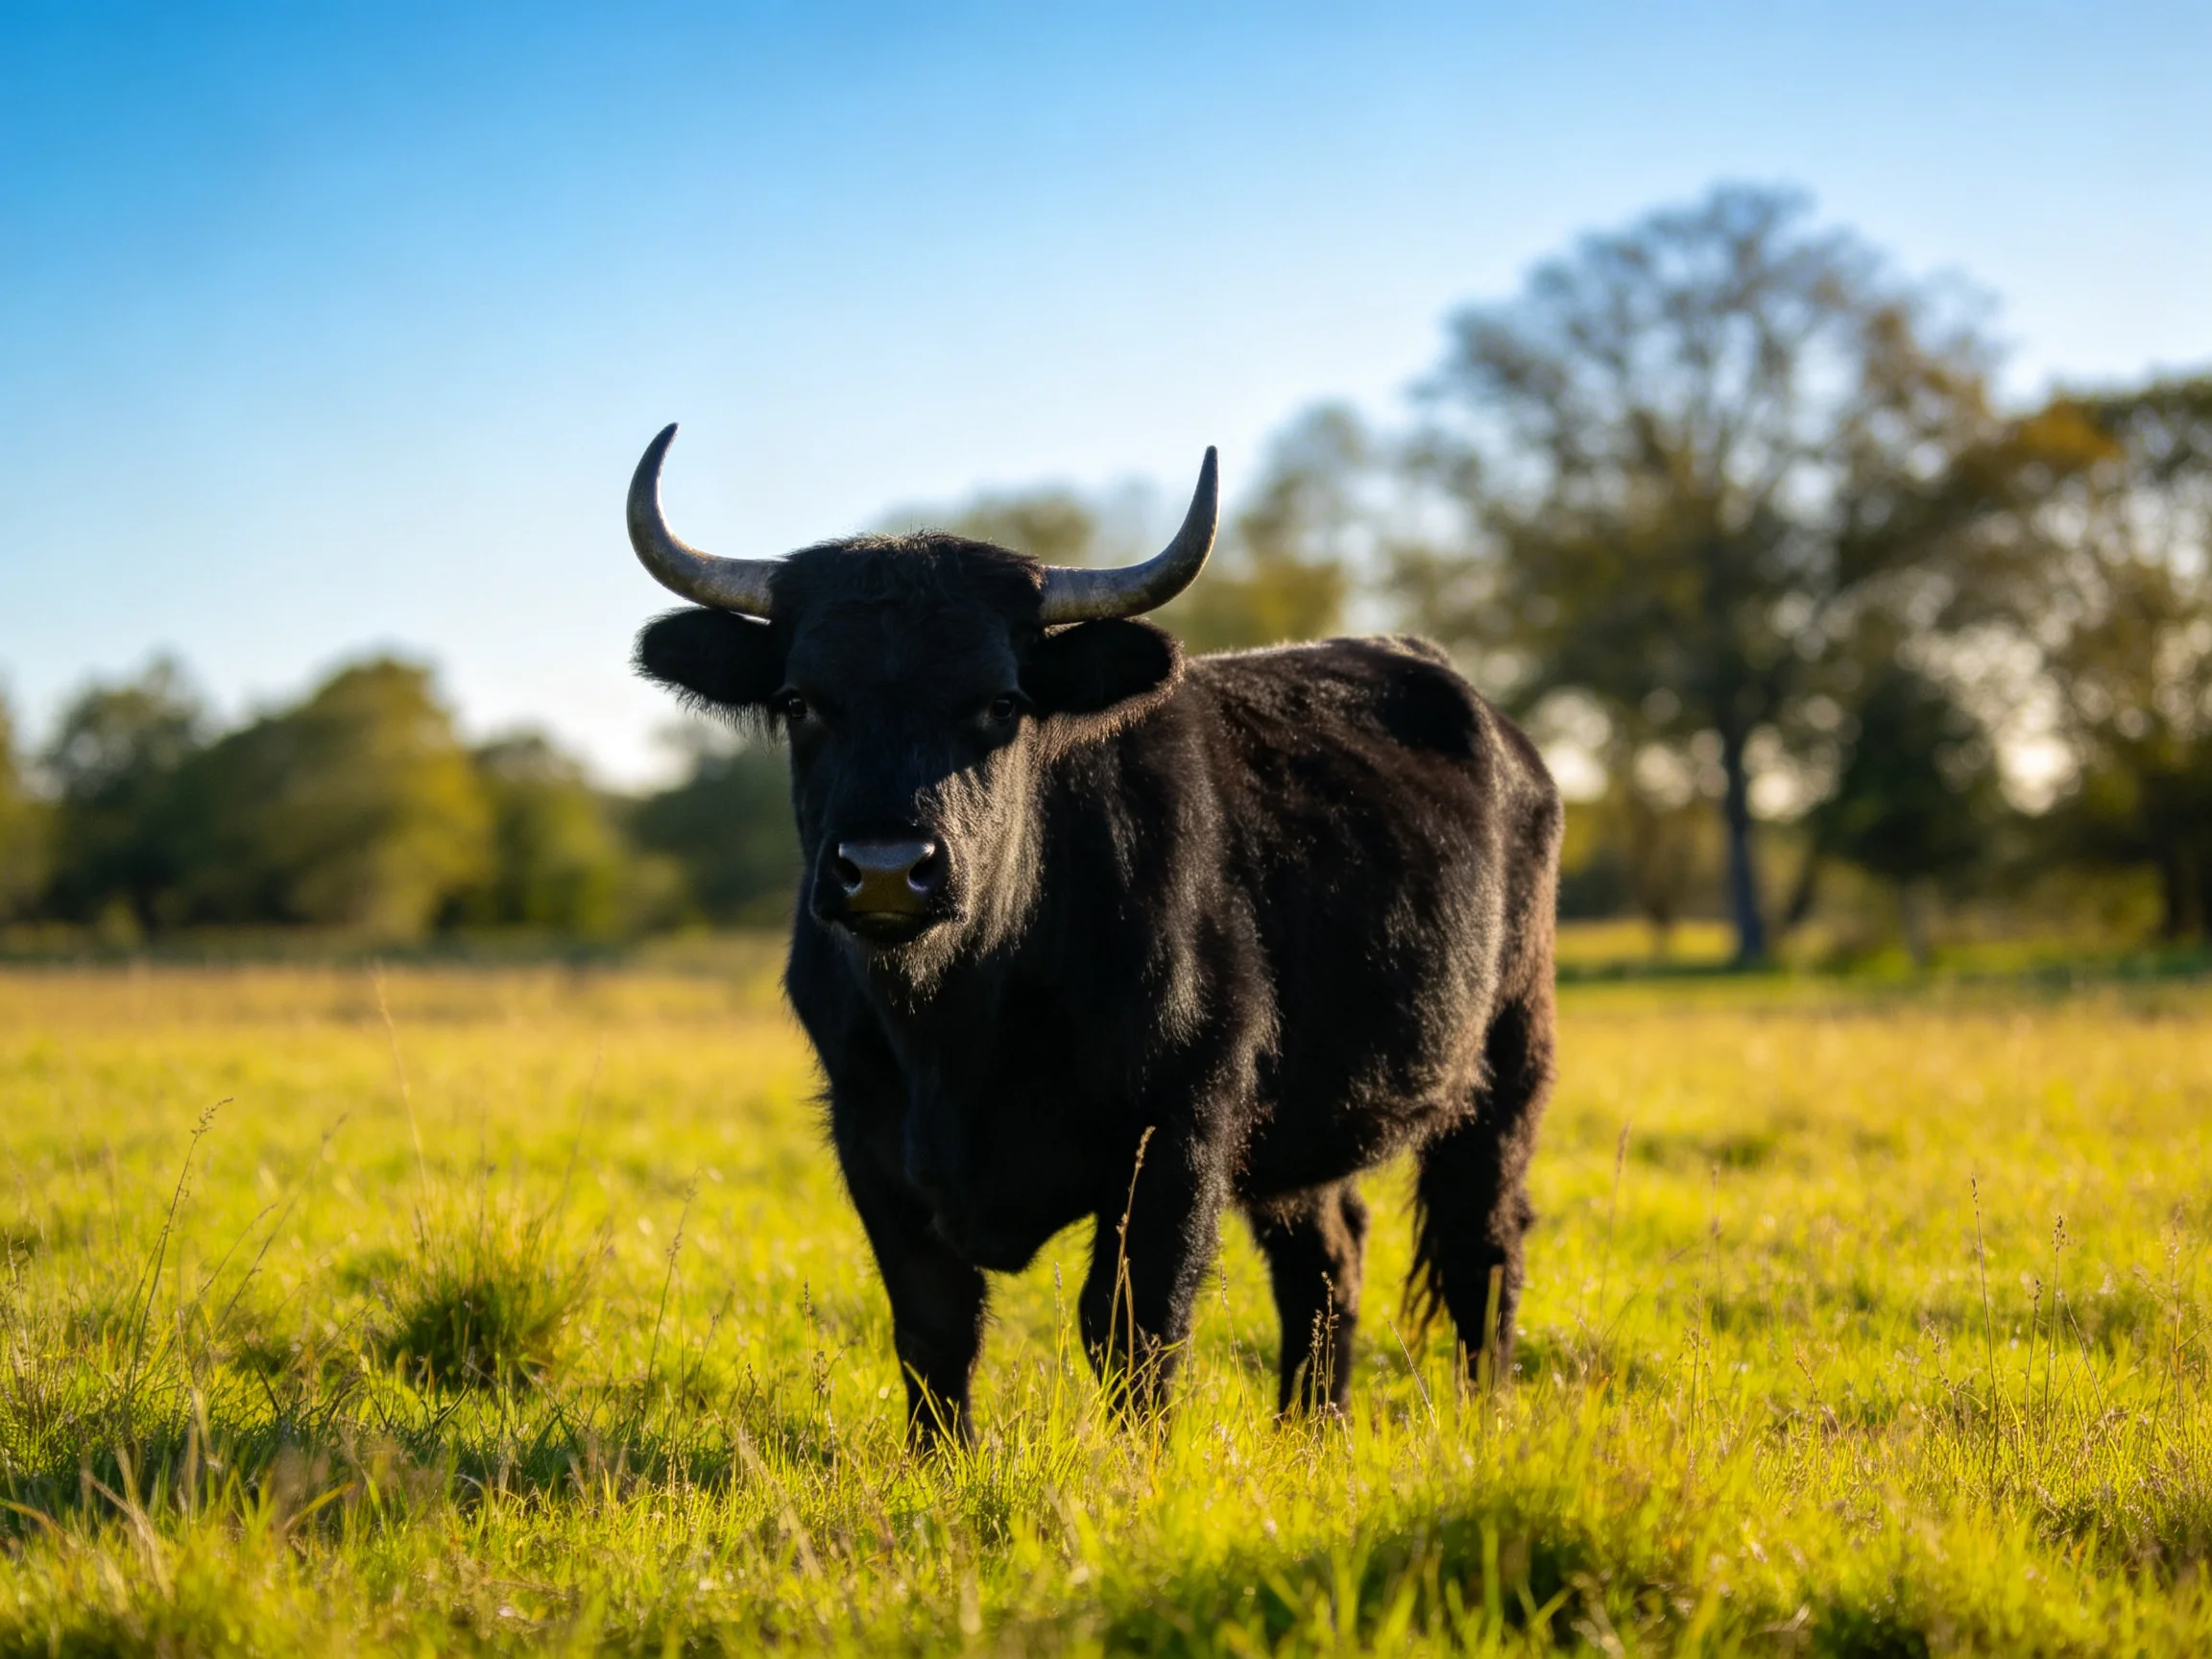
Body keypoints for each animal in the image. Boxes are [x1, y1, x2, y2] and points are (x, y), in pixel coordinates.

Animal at [625, 425, 1560, 1443]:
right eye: (800, 700)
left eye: (1001, 702)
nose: (882, 867)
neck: (959, 1027)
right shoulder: (868, 1134)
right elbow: (933, 1328)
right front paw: (937, 1466)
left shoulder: (1180, 1132)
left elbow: (1131, 1326)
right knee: (1329, 1258)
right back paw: (1311, 1431)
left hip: (1508, 1062)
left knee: (1482, 1247)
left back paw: (1483, 1422)